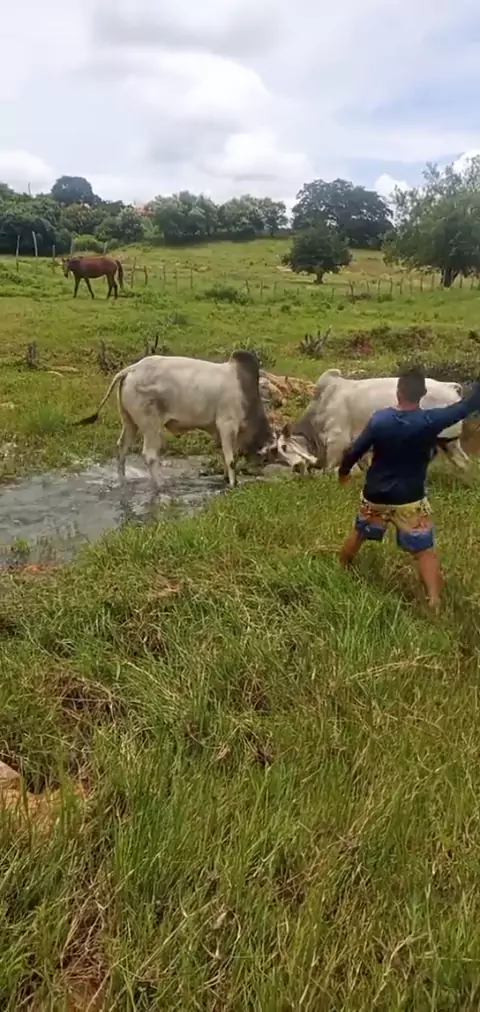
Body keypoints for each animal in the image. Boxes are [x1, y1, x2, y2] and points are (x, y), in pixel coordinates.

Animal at [76, 350, 277, 488]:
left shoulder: (221, 431)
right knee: (150, 455)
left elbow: (226, 455)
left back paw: (122, 480)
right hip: (151, 425)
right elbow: (231, 460)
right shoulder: (227, 425)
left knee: (122, 448)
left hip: (129, 421)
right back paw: (161, 485)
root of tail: (130, 370)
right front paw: (234, 484)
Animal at [276, 368, 470, 475]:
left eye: (284, 447)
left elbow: (330, 468)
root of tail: (450, 386)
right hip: (447, 441)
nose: (294, 468)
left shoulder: (337, 440)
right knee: (463, 461)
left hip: (446, 439)